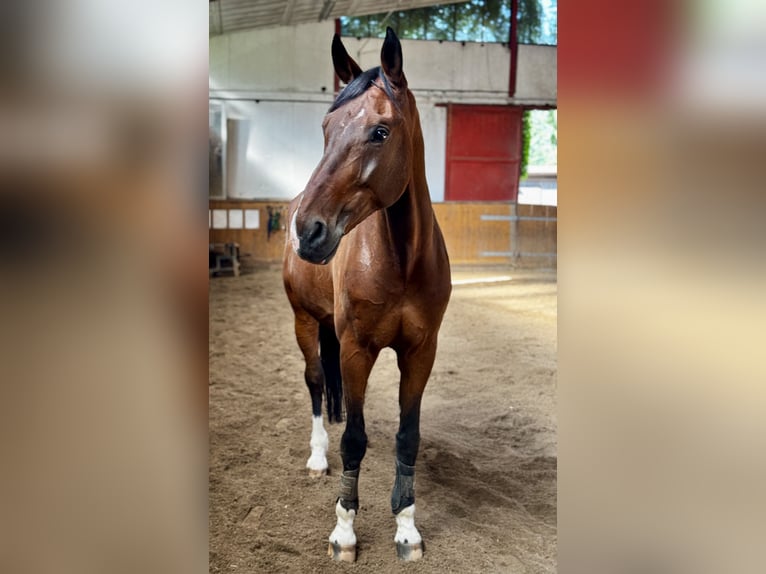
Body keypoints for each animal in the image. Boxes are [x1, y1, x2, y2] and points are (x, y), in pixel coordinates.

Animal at [282, 27, 451, 562]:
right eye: (326, 126)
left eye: (380, 131)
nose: (307, 231)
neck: (400, 260)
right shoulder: (356, 349)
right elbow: (352, 440)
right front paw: (344, 531)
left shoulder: (420, 352)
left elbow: (407, 437)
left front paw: (407, 528)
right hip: (304, 321)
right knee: (316, 383)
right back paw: (318, 456)